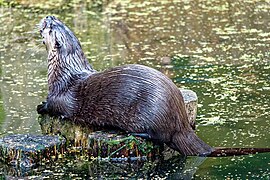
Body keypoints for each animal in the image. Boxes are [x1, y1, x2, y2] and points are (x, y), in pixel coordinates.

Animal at [37, 15, 270, 156]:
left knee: (161, 137)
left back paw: (136, 133)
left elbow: (56, 107)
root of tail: (181, 122)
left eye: (51, 26)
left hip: (152, 114)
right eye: (56, 20)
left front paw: (41, 106)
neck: (63, 71)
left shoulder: (61, 96)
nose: (48, 17)